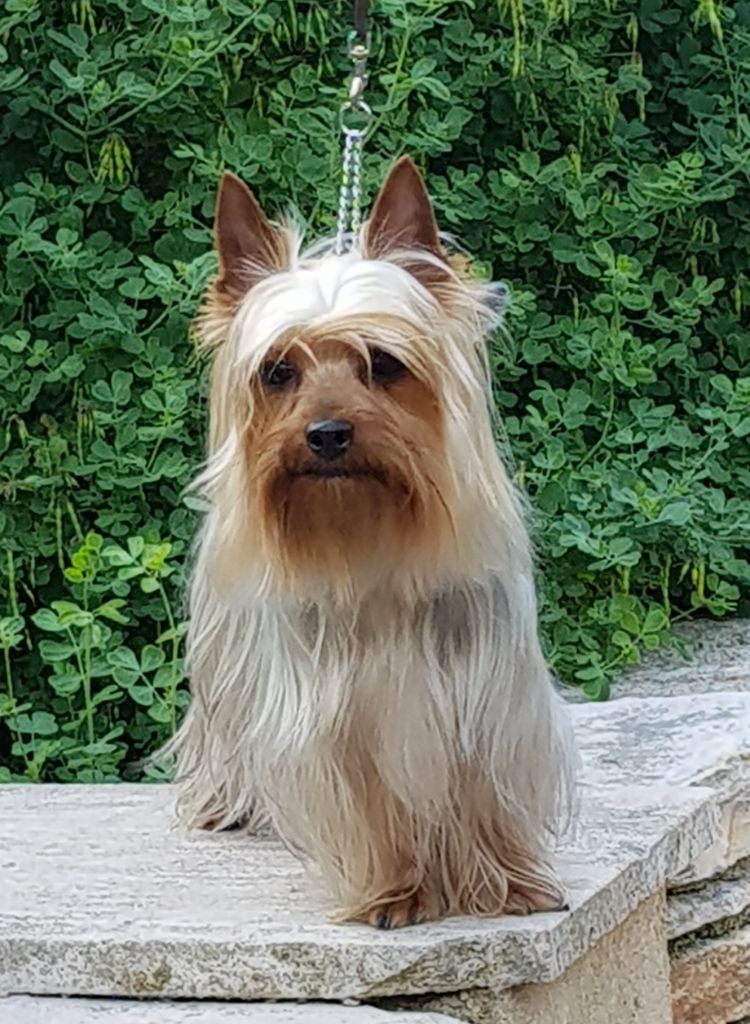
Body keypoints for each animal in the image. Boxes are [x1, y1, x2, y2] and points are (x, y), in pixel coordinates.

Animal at [169, 156, 575, 927]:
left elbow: (484, 791)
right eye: (278, 371)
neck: (374, 542)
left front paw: (507, 887)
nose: (326, 433)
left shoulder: (485, 696)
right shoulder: (338, 718)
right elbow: (371, 805)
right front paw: (397, 893)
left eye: (384, 363)